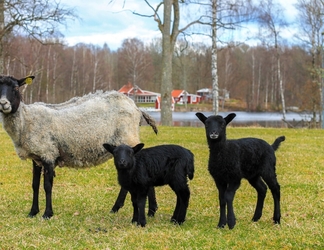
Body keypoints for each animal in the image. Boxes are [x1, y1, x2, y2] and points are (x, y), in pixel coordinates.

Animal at [0, 74, 158, 219]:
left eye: (16, 88)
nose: (3, 103)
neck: (25, 121)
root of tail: (136, 108)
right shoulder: (37, 157)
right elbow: (35, 185)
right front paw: (33, 212)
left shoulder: (48, 152)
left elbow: (47, 186)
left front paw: (47, 214)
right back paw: (141, 210)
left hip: (129, 138)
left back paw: (135, 209)